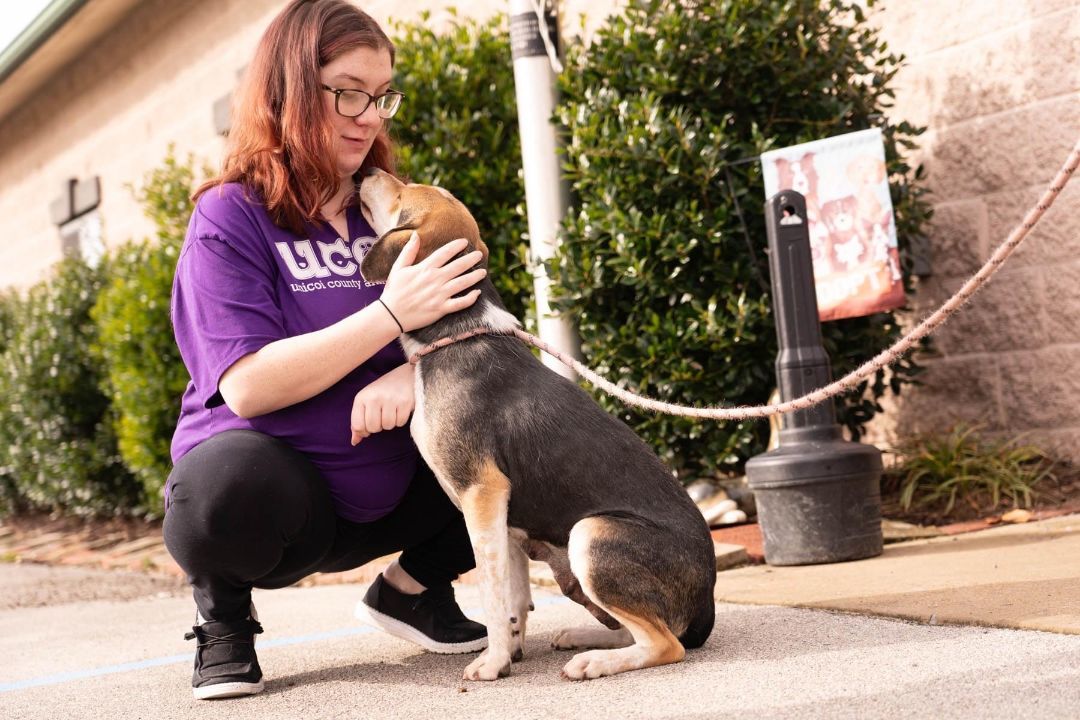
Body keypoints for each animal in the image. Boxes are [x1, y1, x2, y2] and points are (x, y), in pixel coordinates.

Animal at [356, 167, 717, 682]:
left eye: (403, 195)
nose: (367, 171)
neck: (457, 334)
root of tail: (707, 600)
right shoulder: (506, 520)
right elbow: (512, 600)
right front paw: (508, 652)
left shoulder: (482, 495)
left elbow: (493, 594)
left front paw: (491, 664)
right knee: (643, 628)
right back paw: (586, 640)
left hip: (592, 535)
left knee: (666, 643)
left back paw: (595, 662)